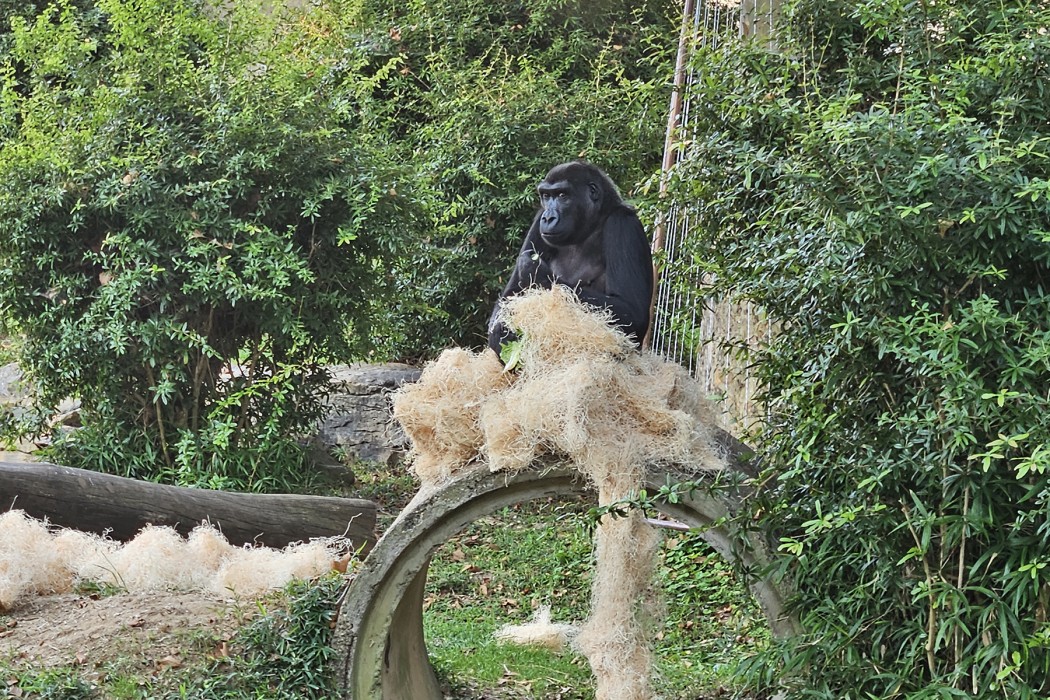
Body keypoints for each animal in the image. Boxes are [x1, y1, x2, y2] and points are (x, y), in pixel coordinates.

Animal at [487, 160, 651, 352]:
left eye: (562, 195)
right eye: (546, 196)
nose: (548, 218)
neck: (593, 221)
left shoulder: (623, 224)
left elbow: (632, 312)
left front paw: (537, 272)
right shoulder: (538, 218)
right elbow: (508, 297)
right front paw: (502, 332)